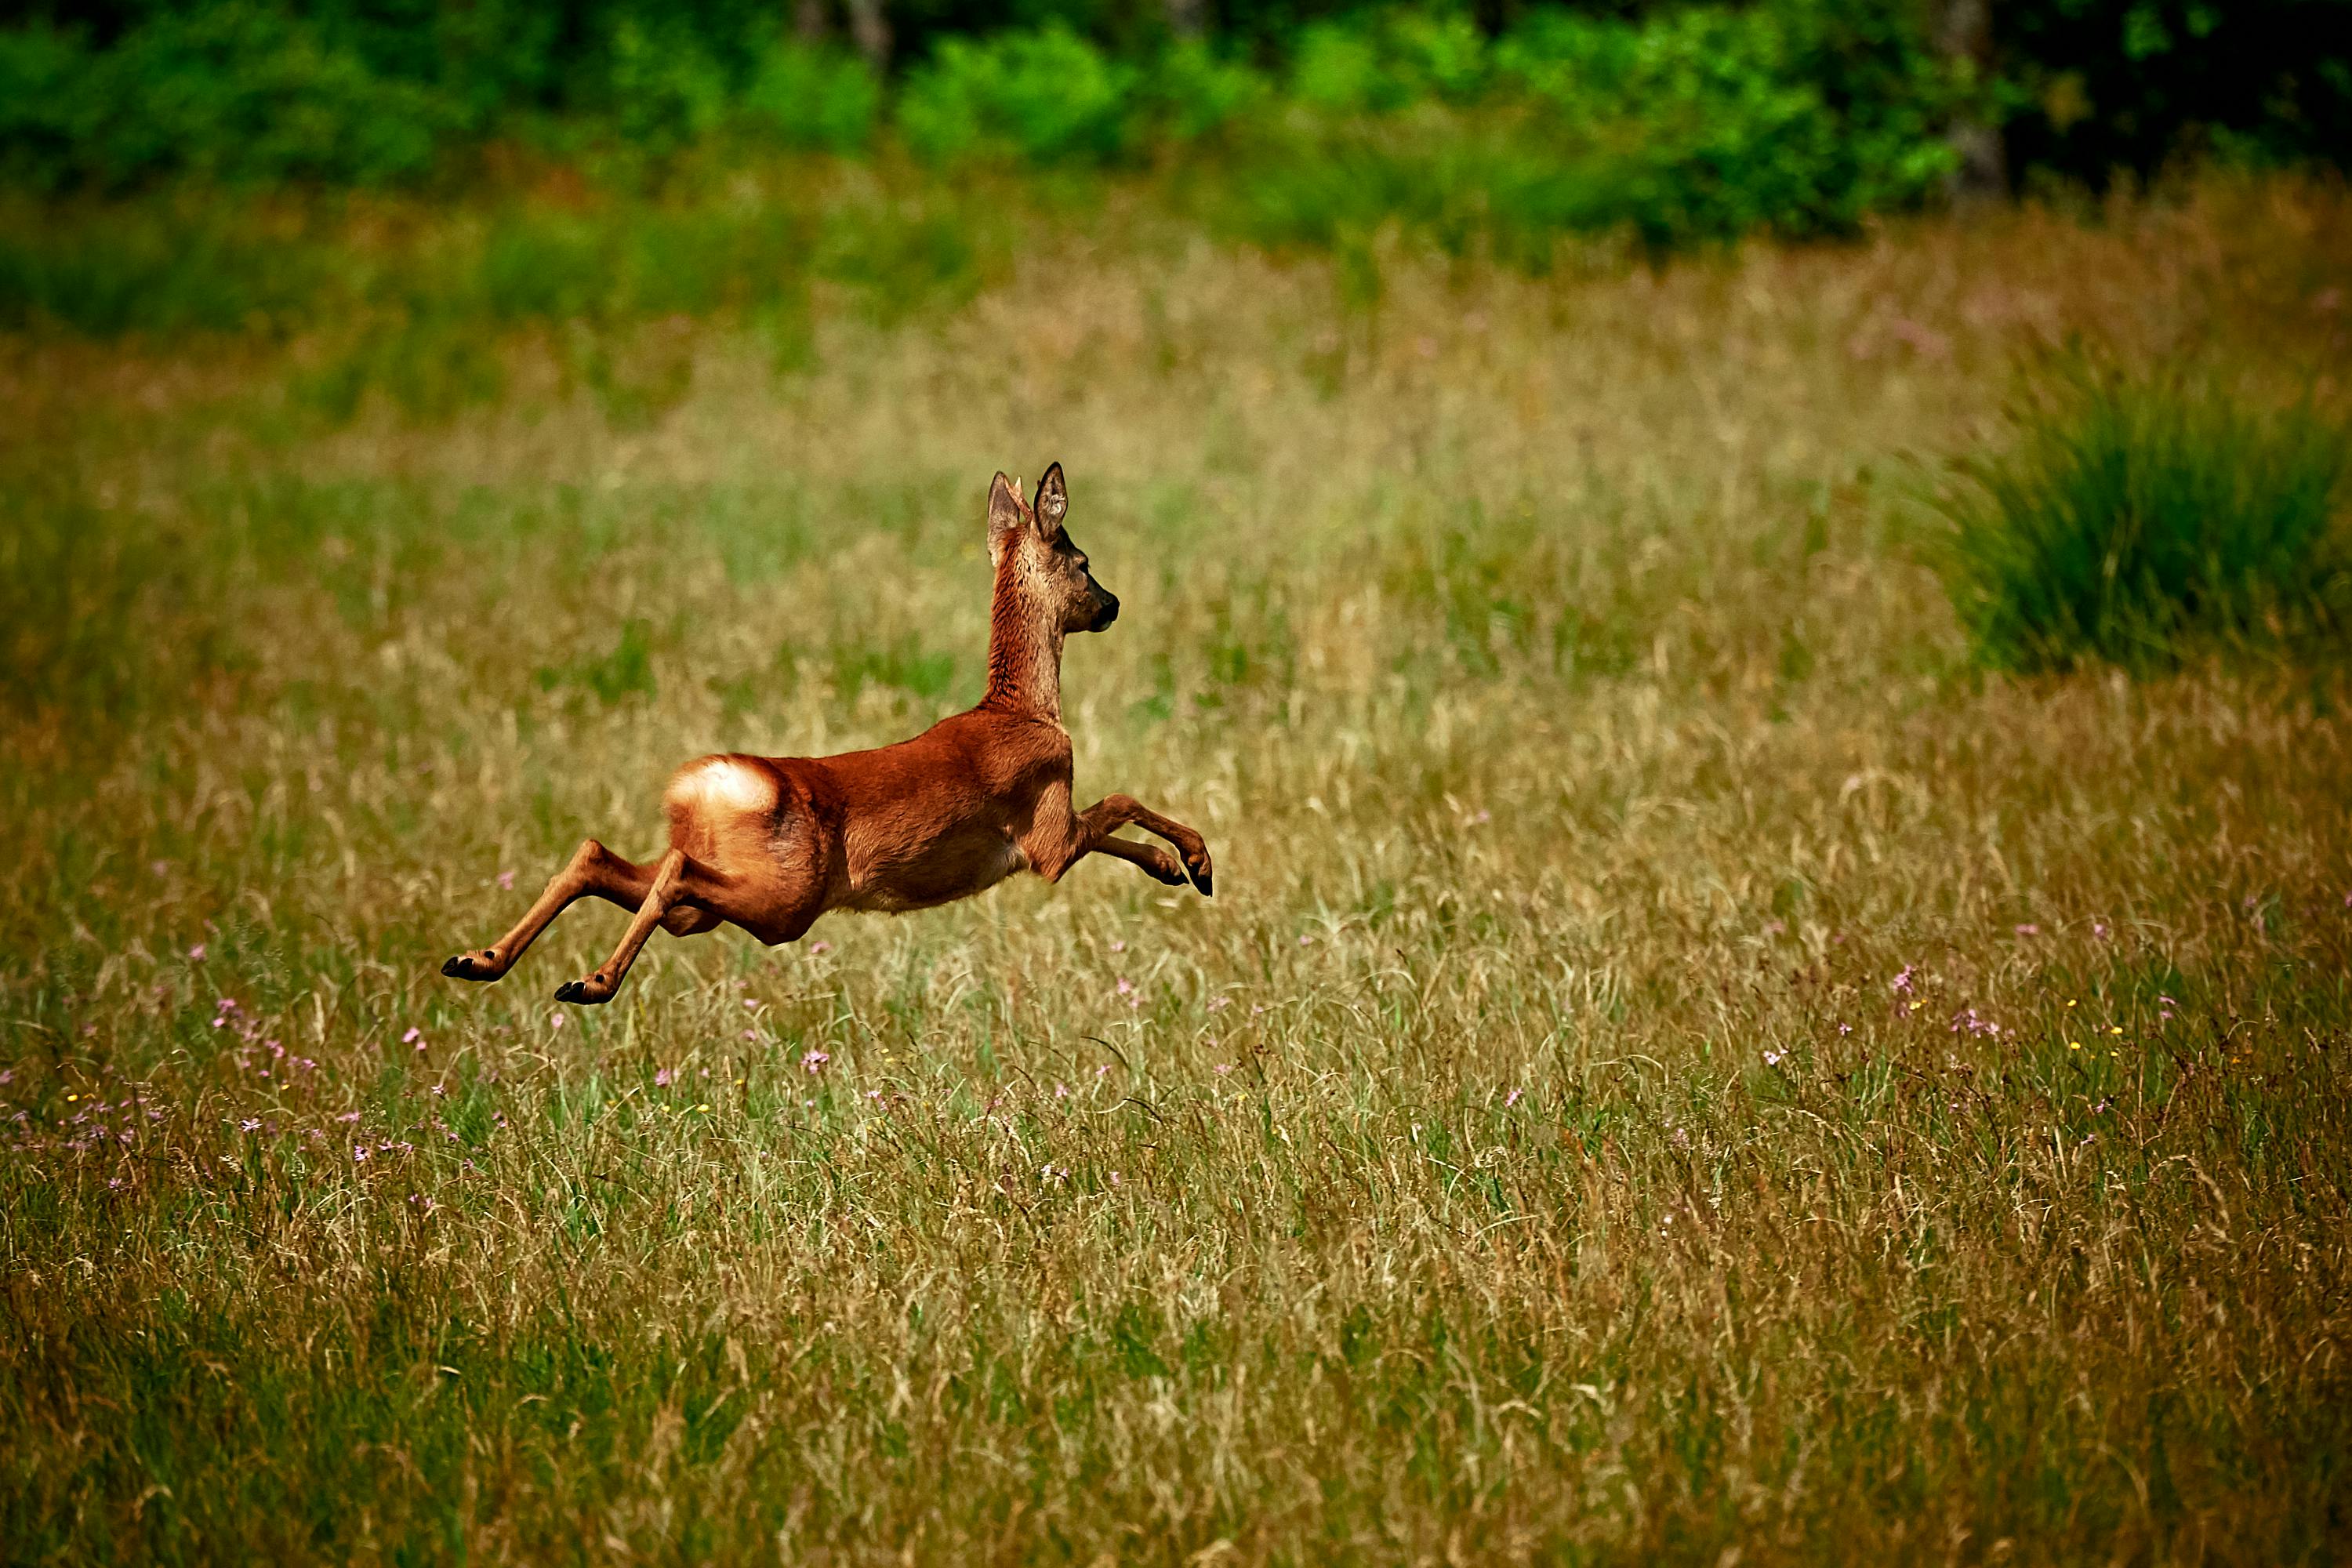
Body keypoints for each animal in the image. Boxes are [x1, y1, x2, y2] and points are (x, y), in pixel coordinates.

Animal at [441, 463, 1214, 1006]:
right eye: (1084, 562)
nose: (1113, 604)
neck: (1021, 710)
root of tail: (702, 787)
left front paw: (1174, 869)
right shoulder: (1047, 832)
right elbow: (1121, 801)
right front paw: (1197, 863)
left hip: (721, 901)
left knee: (600, 856)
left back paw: (479, 961)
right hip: (785, 898)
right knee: (670, 870)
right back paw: (590, 983)